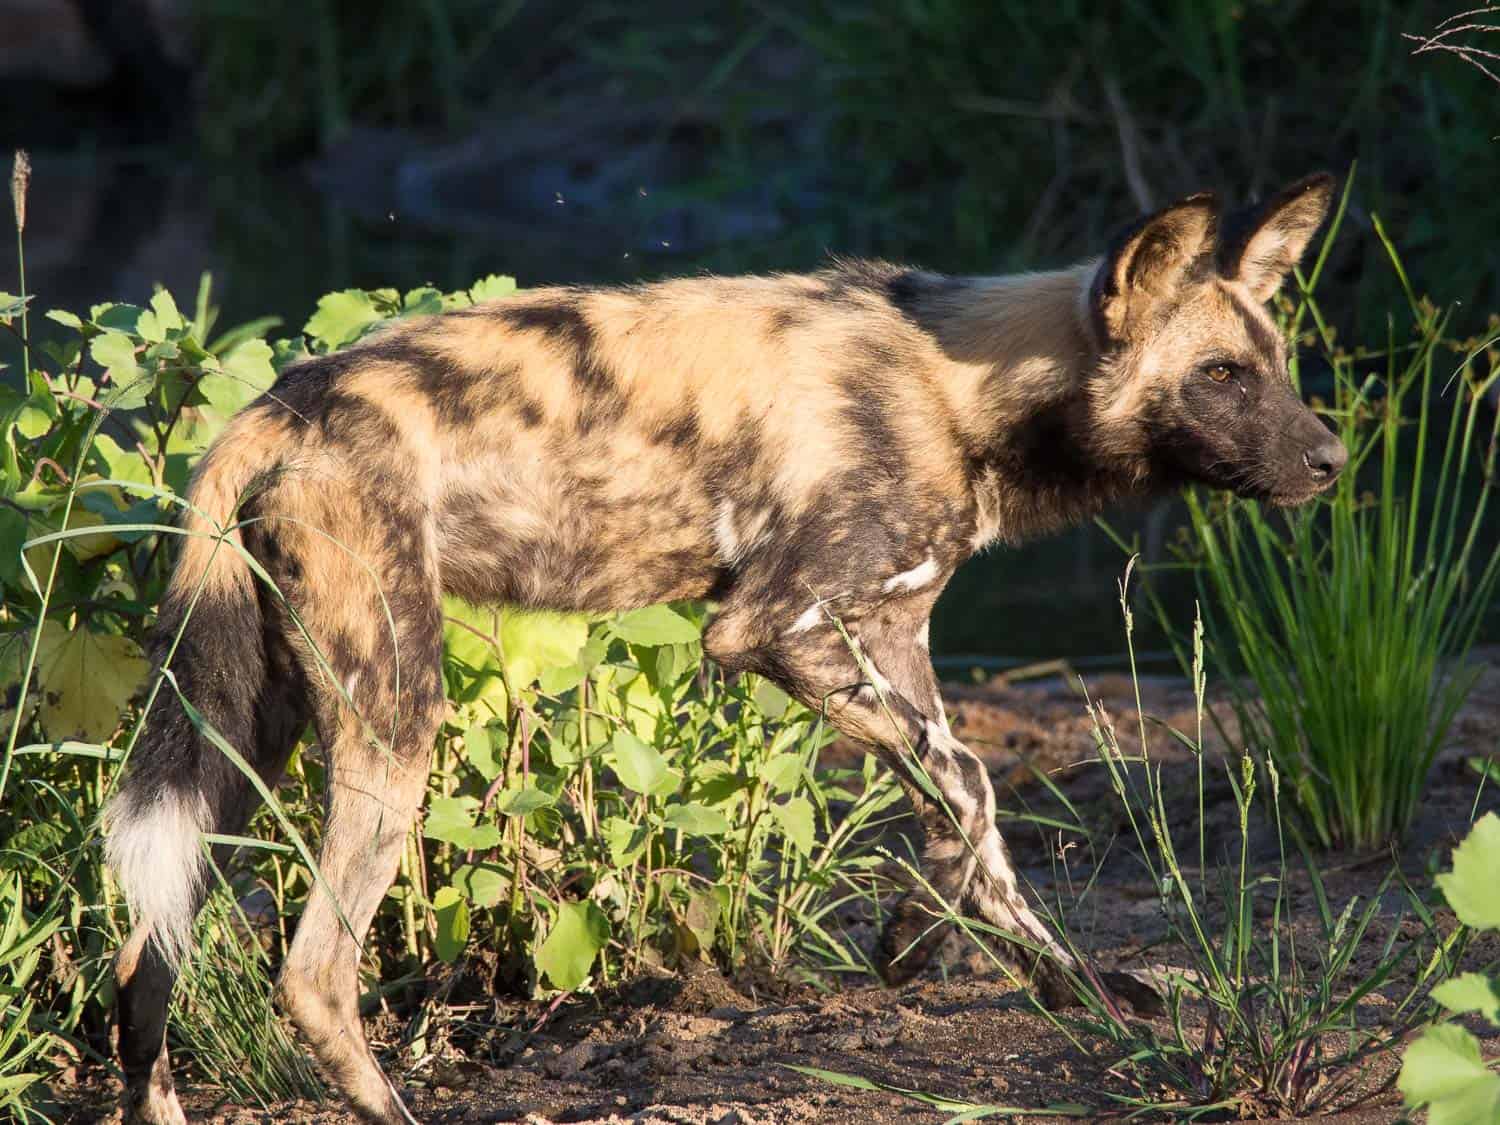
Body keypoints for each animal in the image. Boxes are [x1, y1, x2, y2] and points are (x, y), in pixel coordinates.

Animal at [105, 171, 1350, 1122]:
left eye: (1279, 364)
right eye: (1221, 376)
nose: (1335, 459)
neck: (959, 389)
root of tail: (280, 405)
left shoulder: (892, 637)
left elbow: (969, 809)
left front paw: (1032, 975)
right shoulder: (775, 629)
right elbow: (974, 784)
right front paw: (945, 947)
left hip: (243, 733)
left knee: (143, 963)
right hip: (393, 717)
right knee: (313, 972)